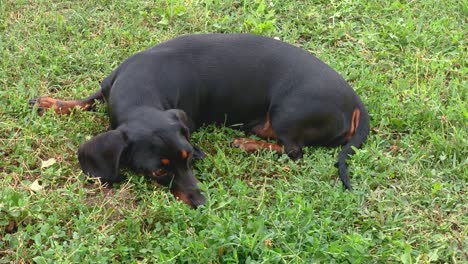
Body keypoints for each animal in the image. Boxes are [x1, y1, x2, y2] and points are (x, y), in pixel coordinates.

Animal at [31, 33, 372, 208]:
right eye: (159, 172)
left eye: (188, 158)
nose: (201, 203)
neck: (141, 87)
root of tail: (355, 100)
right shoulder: (107, 87)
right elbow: (84, 102)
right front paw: (52, 102)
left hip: (287, 112)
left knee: (293, 151)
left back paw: (247, 142)